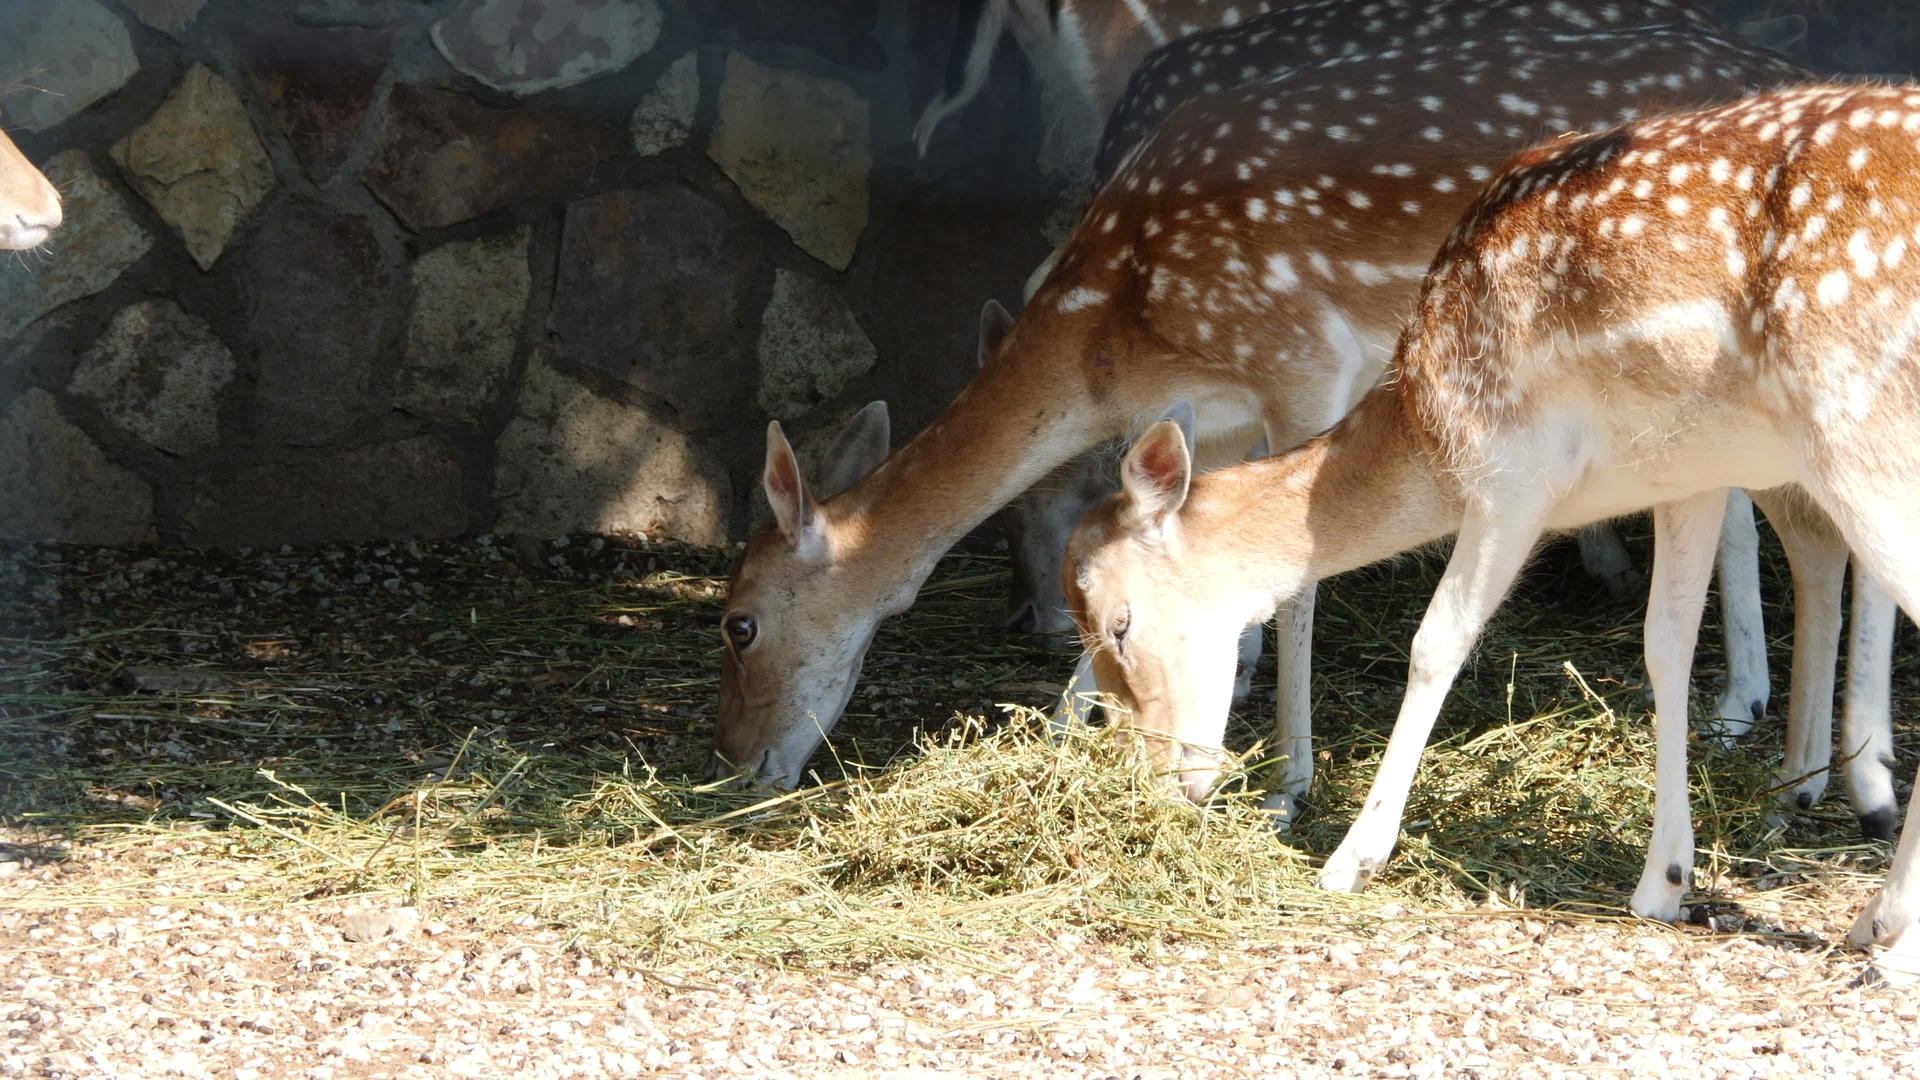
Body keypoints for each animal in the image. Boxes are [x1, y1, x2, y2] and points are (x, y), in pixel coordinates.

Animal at [718, 25, 1843, 818]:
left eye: (738, 621)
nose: (734, 763)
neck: (1119, 327)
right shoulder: (1208, 417)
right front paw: (1071, 732)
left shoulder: (1300, 360)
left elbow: (1295, 579)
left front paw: (1288, 786)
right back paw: (1745, 707)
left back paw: (1745, 712)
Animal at [1059, 82, 1920, 976]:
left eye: (1119, 624)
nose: (1163, 781)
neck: (1428, 416)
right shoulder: (1690, 473)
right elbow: (1667, 644)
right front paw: (1663, 883)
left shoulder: (1511, 474)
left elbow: (1435, 642)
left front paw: (1352, 859)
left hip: (1857, 434)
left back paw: (1889, 932)